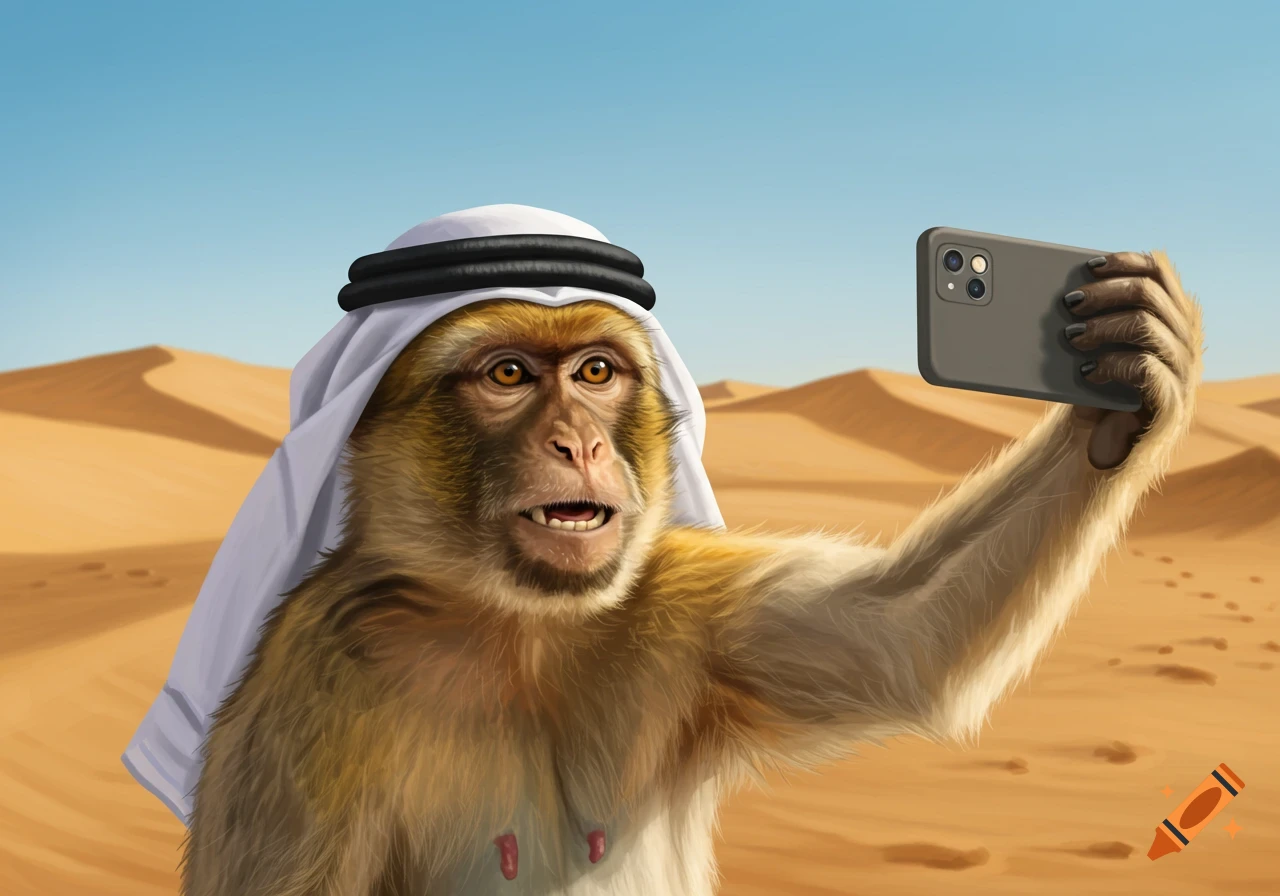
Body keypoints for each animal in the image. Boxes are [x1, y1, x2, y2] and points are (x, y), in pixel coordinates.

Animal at [181, 250, 1202, 895]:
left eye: (596, 372)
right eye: (508, 375)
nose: (581, 442)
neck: (518, 625)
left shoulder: (673, 595)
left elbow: (907, 645)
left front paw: (1126, 383)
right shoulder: (311, 691)